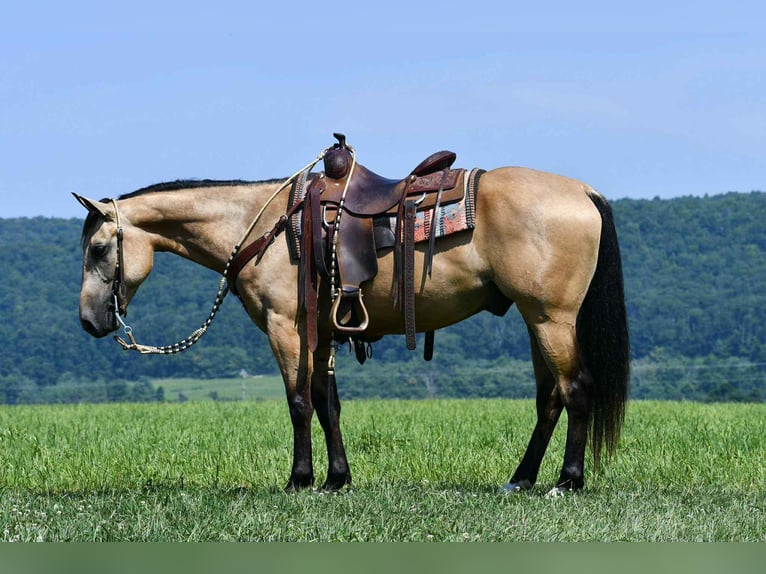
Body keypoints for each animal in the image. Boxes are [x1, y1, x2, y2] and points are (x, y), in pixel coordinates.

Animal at [74, 152, 629, 496]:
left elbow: (299, 403)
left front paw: (299, 480)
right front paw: (336, 478)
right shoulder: (321, 335)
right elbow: (328, 404)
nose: (88, 320)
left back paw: (567, 480)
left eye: (99, 248)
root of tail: (583, 192)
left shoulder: (286, 328)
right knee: (549, 398)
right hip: (536, 319)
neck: (263, 225)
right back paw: (521, 478)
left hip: (550, 317)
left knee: (576, 388)